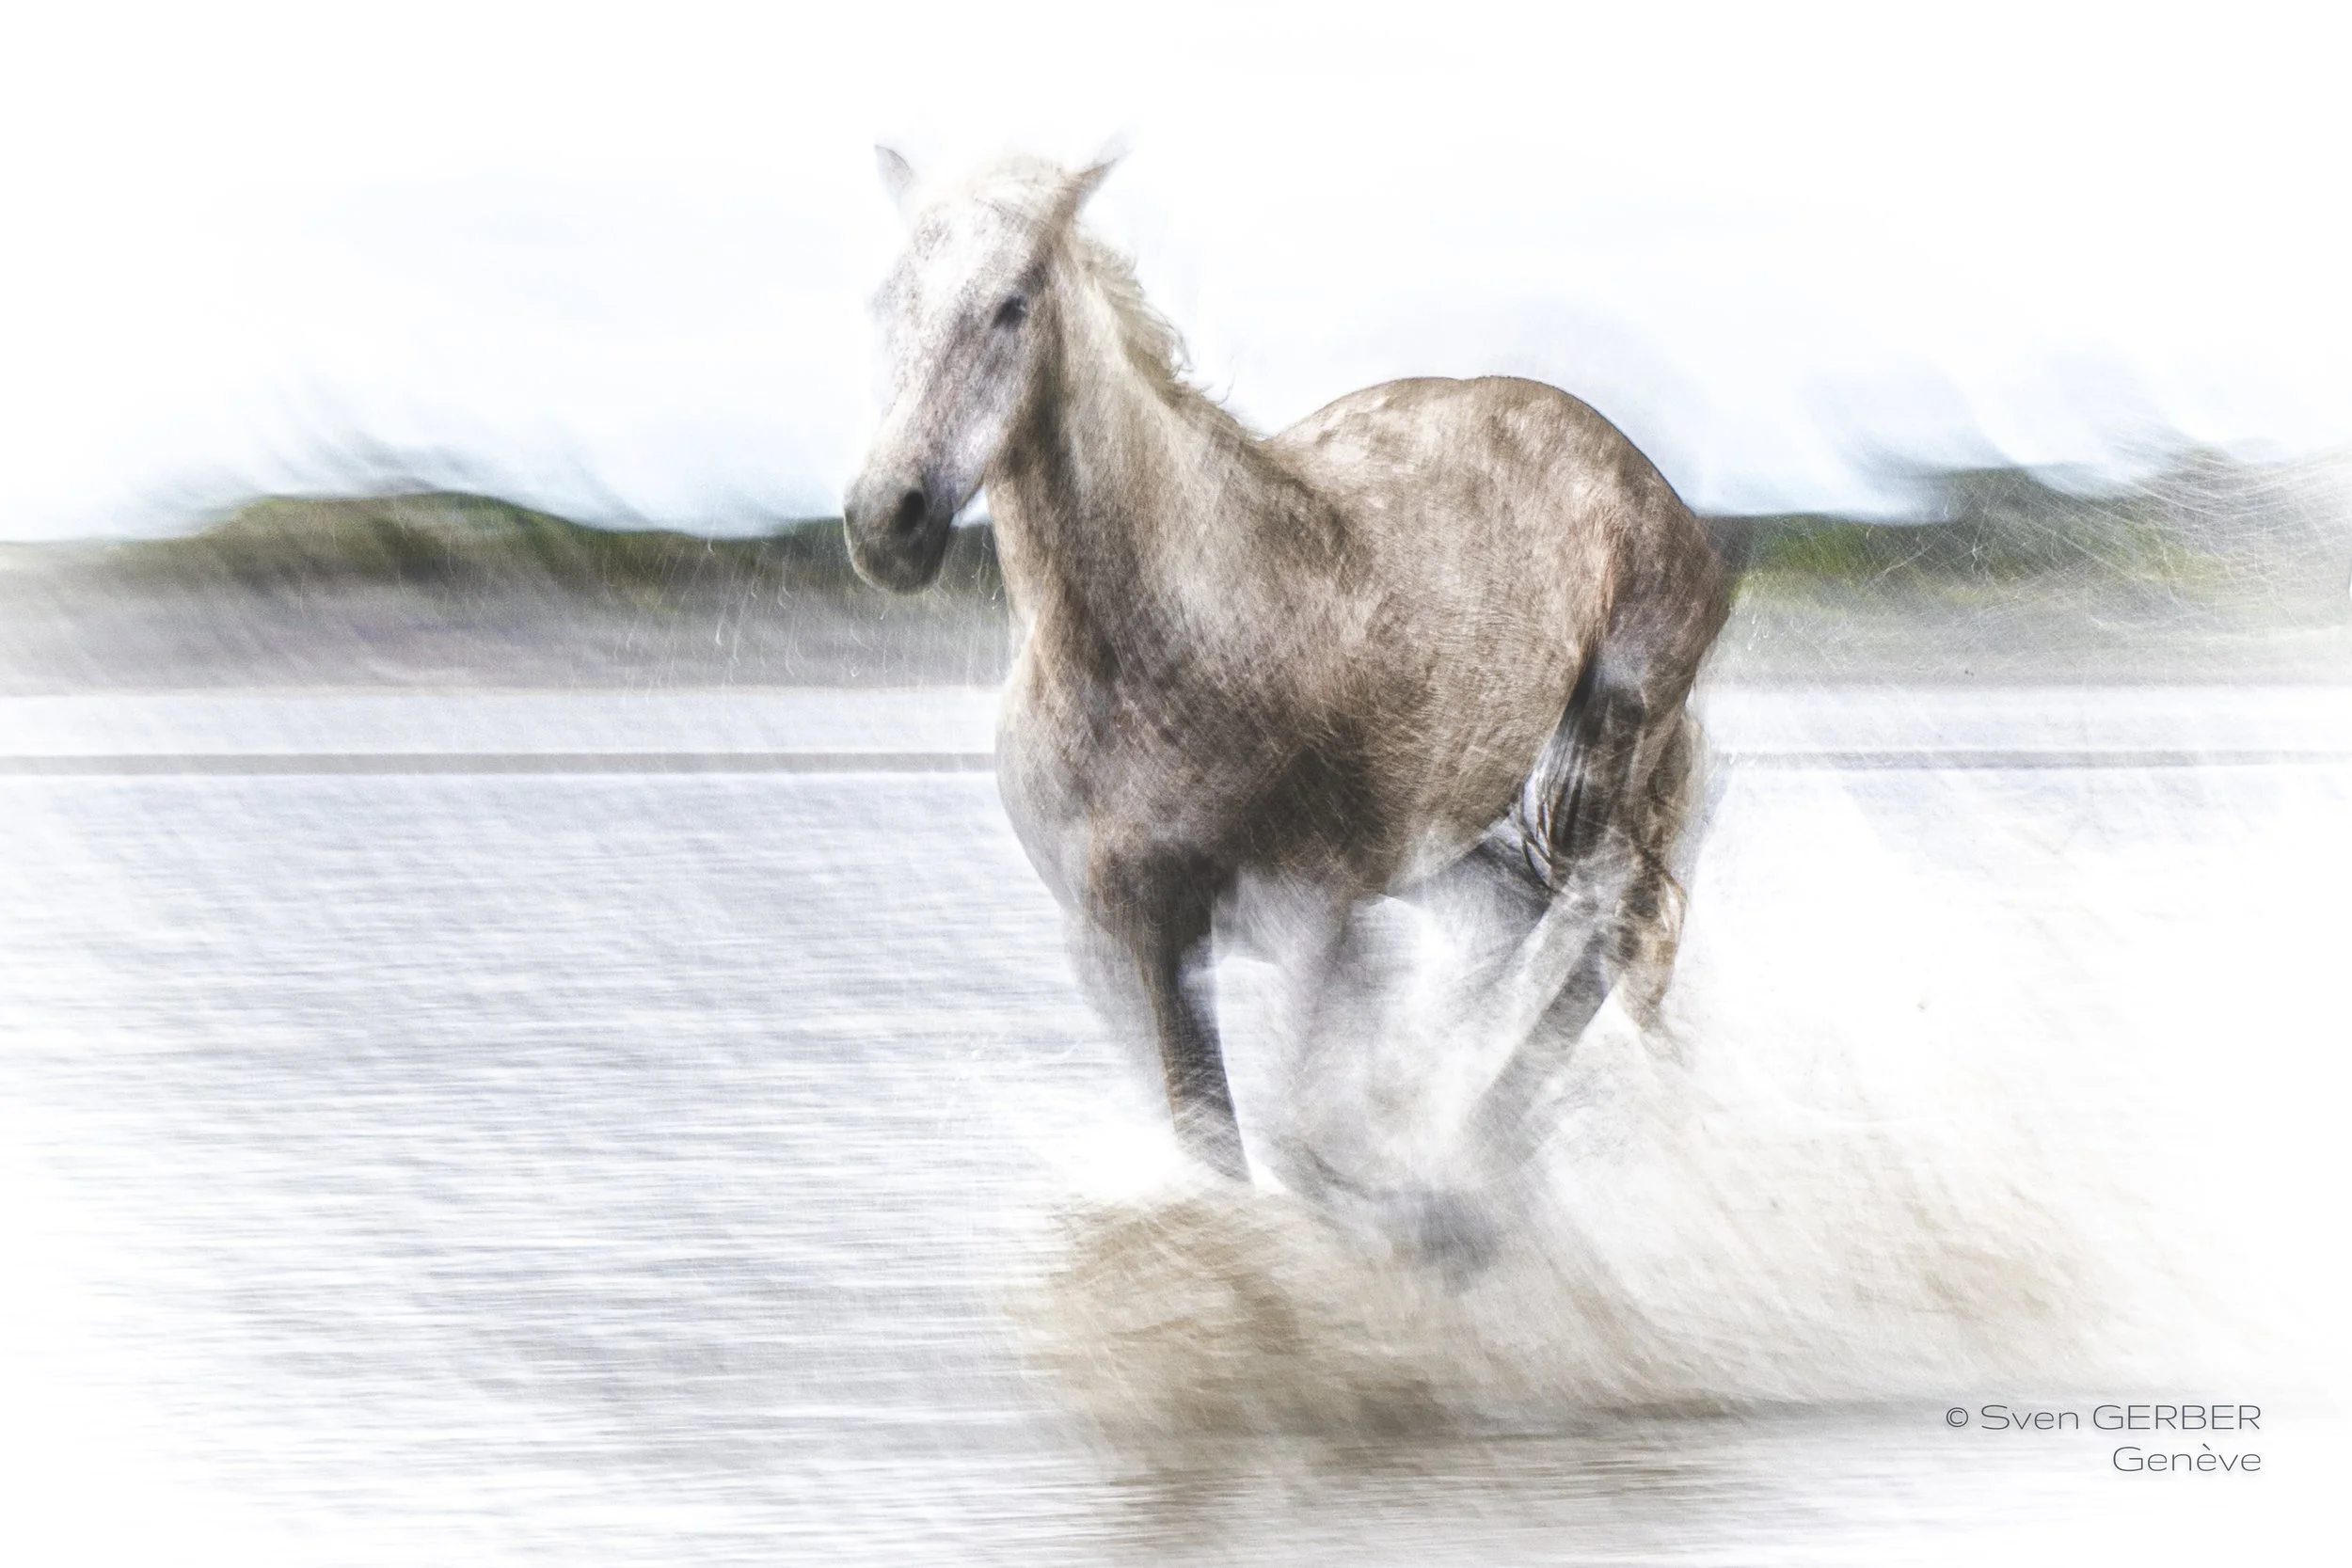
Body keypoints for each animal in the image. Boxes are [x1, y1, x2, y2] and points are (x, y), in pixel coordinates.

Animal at [843, 152, 1731, 1224]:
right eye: (888, 299)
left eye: (1012, 303)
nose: (887, 519)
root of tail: (1663, 497)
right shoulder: (1121, 946)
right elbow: (1215, 1148)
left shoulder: (1310, 922)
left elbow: (1299, 1148)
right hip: (1451, 840)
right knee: (1530, 921)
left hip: (1594, 769)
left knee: (1611, 917)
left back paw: (1476, 1145)